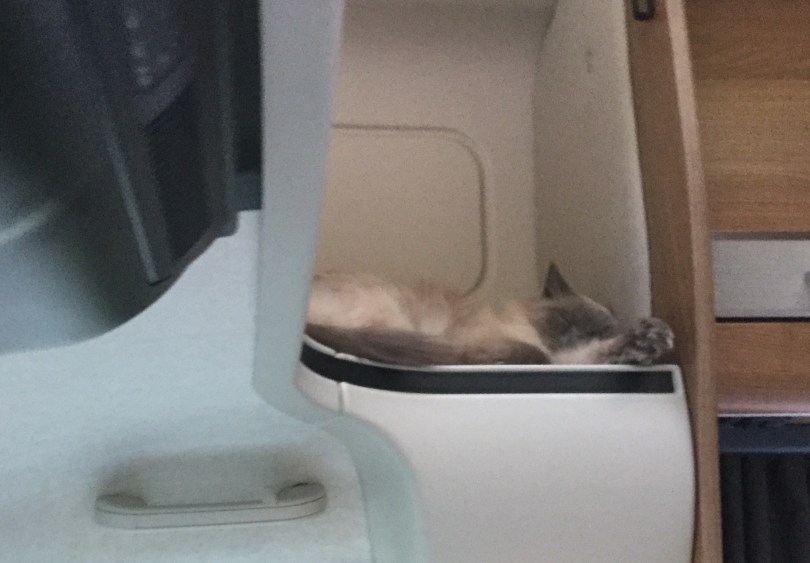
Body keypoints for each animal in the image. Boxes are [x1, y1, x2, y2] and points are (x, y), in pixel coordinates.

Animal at [304, 263, 674, 367]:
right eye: (564, 321)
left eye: (598, 332)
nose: (574, 338)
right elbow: (539, 354)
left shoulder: (569, 359)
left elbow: (595, 355)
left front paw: (650, 341)